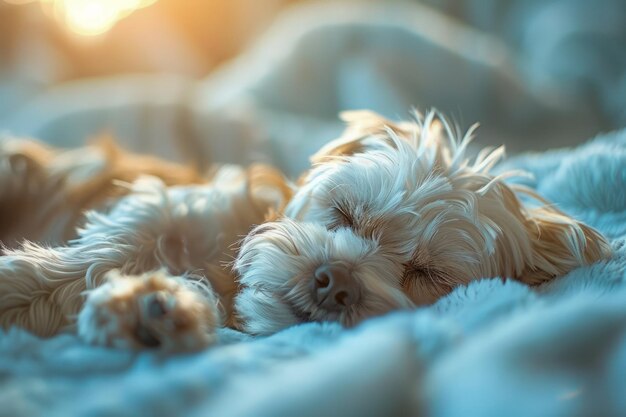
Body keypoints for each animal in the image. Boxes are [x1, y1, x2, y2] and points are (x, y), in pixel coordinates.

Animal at [0, 109, 608, 348]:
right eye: (344, 214)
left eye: (426, 274)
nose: (336, 282)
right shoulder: (173, 207)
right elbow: (106, 248)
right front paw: (18, 287)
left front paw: (149, 310)